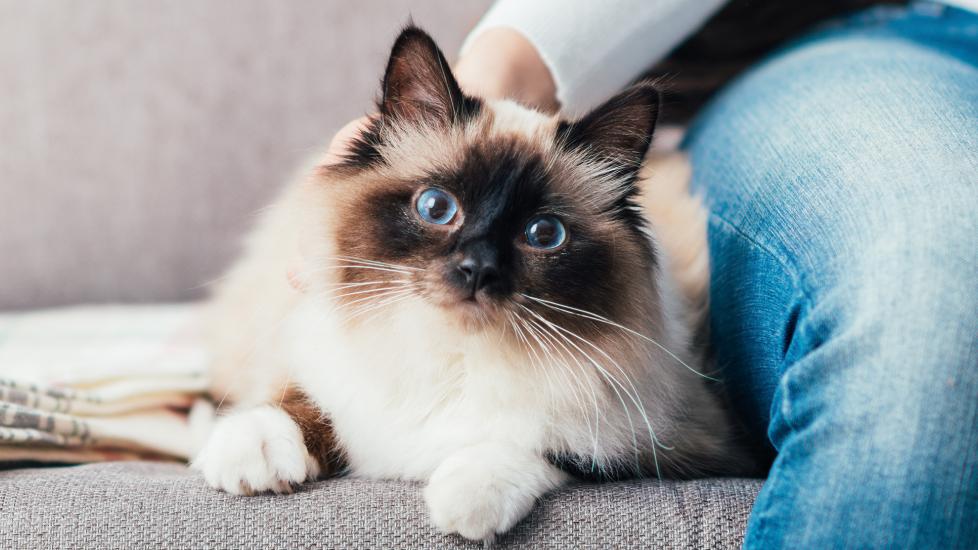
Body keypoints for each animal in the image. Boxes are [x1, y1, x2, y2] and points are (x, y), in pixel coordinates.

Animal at [193, 25, 748, 544]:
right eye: (437, 207)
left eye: (543, 234)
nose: (477, 268)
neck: (454, 353)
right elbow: (299, 398)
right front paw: (254, 455)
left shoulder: (684, 440)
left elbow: (550, 446)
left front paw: (466, 501)